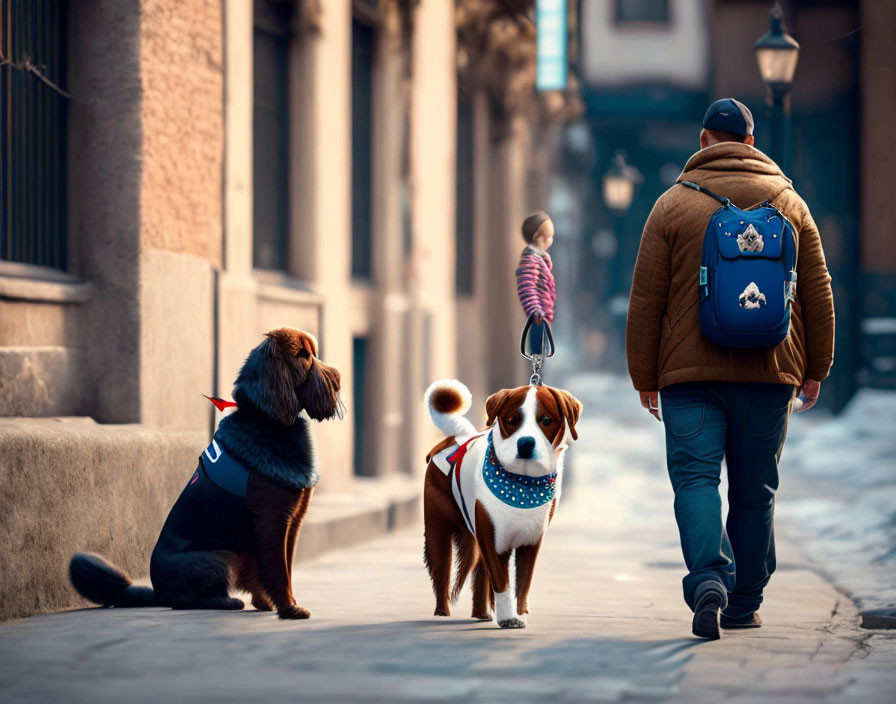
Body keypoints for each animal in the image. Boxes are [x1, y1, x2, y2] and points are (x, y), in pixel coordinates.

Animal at [70, 328, 342, 620]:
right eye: (303, 356)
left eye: (313, 353)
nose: (339, 380)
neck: (268, 421)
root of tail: (158, 591)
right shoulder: (275, 520)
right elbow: (280, 570)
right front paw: (290, 607)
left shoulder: (291, 520)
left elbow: (274, 569)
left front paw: (267, 603)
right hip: (214, 558)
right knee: (185, 600)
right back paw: (227, 602)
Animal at [426, 380, 584, 628]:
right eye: (513, 421)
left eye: (546, 420)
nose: (526, 443)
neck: (522, 485)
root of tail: (458, 436)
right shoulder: (493, 539)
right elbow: (502, 582)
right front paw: (508, 617)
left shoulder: (531, 541)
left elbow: (522, 584)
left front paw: (519, 613)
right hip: (439, 530)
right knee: (442, 567)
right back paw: (443, 611)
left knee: (480, 575)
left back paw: (482, 613)